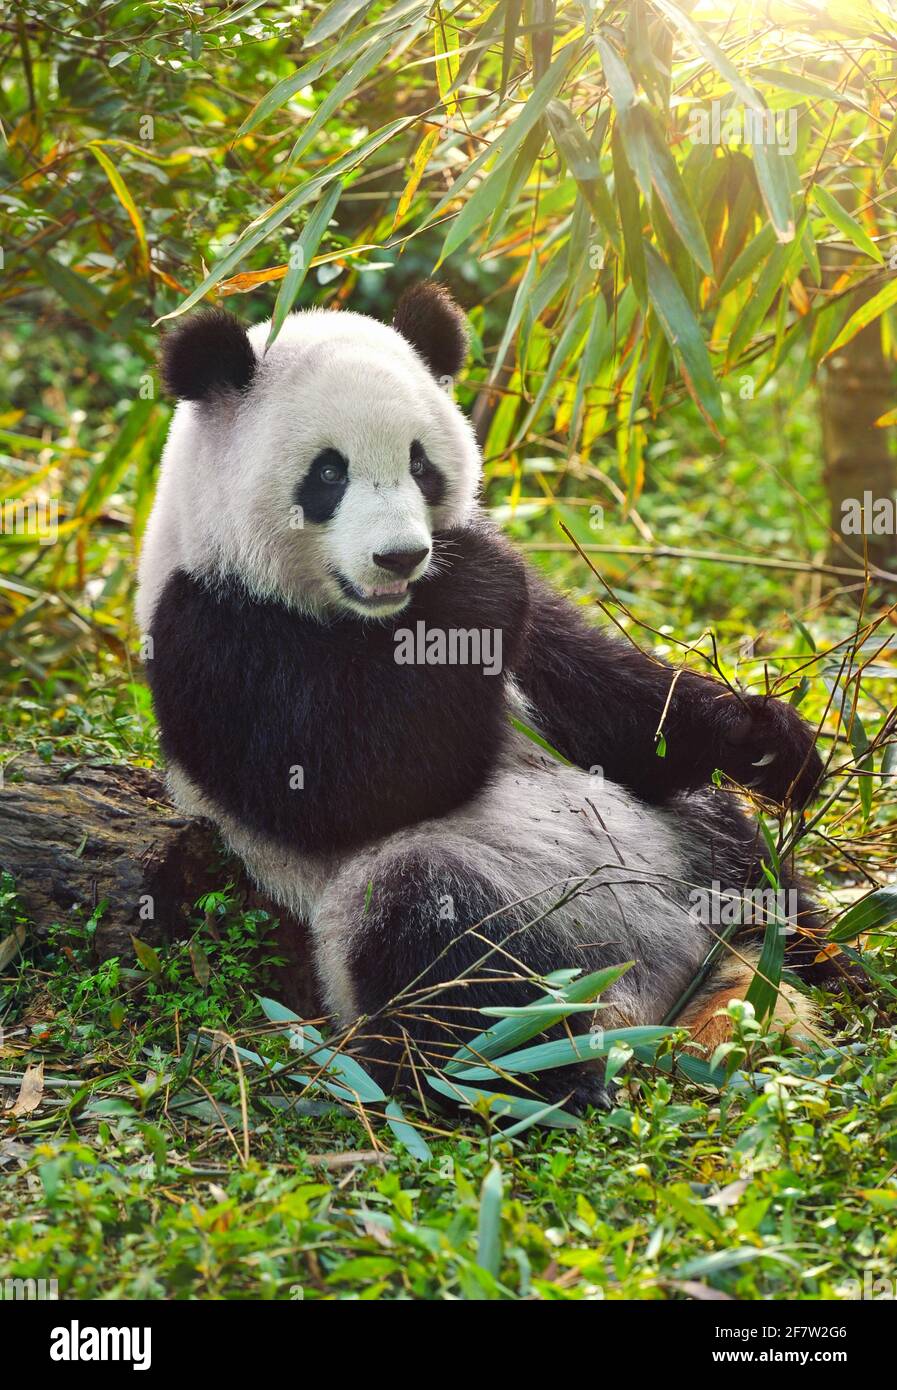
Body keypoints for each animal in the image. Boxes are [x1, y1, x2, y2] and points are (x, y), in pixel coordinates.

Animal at [136, 282, 828, 1106]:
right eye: (328, 474)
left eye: (420, 464)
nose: (400, 556)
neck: (376, 615)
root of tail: (650, 989)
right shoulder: (214, 628)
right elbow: (348, 781)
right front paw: (474, 574)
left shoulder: (529, 655)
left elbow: (610, 705)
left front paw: (772, 742)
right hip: (423, 908)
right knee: (439, 952)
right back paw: (552, 1077)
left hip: (672, 840)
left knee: (740, 853)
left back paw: (808, 957)